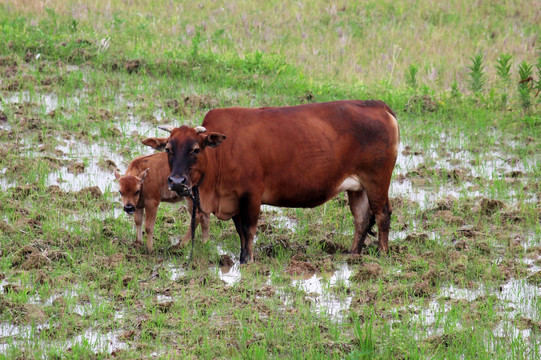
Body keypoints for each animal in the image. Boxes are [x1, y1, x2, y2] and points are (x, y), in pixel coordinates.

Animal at [142, 100, 396, 262]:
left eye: (195, 149)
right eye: (168, 149)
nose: (176, 181)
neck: (221, 154)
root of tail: (376, 105)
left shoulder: (251, 196)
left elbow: (249, 231)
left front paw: (248, 261)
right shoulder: (234, 200)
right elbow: (240, 233)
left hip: (377, 182)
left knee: (382, 214)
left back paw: (383, 255)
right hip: (357, 188)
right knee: (361, 220)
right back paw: (353, 256)